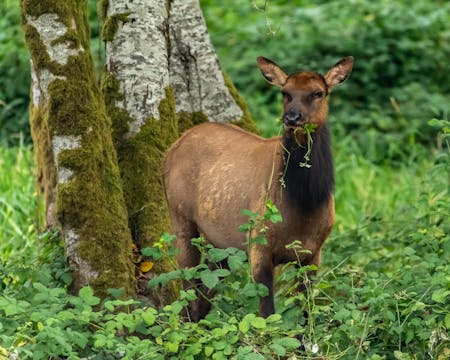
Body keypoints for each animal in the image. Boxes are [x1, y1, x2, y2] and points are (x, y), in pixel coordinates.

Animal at [163, 55, 354, 320]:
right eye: (285, 92)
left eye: (319, 93)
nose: (292, 118)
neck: (305, 205)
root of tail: (172, 148)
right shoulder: (259, 243)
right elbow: (267, 314)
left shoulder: (313, 253)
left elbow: (306, 311)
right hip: (180, 217)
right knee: (187, 285)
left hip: (220, 243)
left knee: (204, 290)